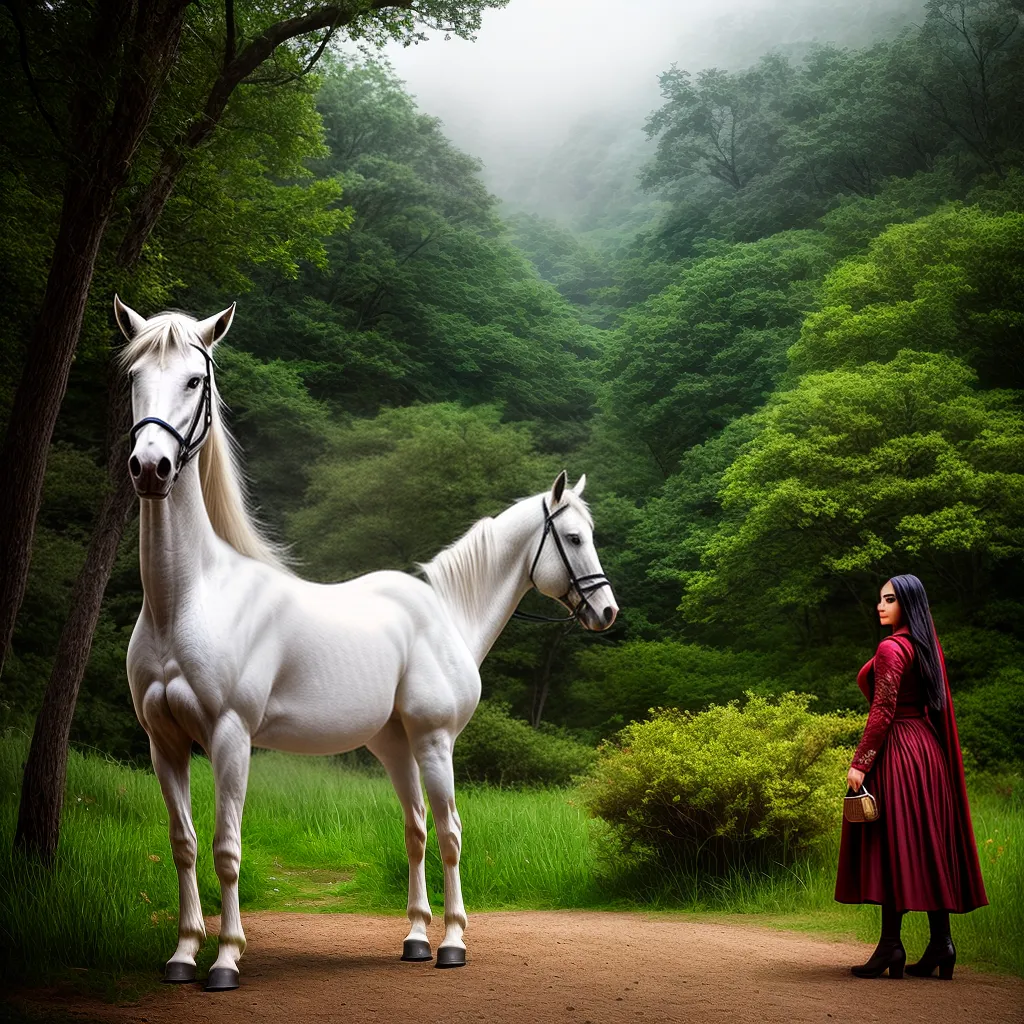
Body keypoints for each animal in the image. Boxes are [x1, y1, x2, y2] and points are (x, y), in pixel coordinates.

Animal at [114, 296, 618, 990]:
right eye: (135, 378)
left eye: (195, 380)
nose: (150, 468)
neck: (189, 599)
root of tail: (437, 617)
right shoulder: (164, 743)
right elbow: (186, 844)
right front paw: (186, 954)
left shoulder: (230, 737)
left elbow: (227, 848)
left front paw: (226, 958)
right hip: (399, 746)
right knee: (419, 830)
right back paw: (416, 939)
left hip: (429, 743)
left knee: (448, 831)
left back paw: (451, 943)